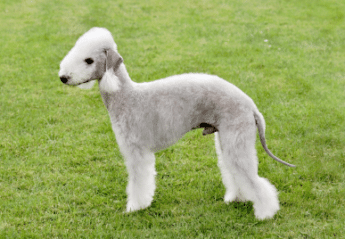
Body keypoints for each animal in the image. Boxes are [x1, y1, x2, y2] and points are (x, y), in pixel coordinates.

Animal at [58, 27, 292, 219]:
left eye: (89, 60)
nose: (63, 77)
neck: (125, 95)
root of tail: (251, 105)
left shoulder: (137, 151)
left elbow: (139, 182)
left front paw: (135, 207)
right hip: (228, 140)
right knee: (236, 172)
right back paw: (238, 198)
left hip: (237, 137)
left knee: (253, 179)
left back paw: (265, 213)